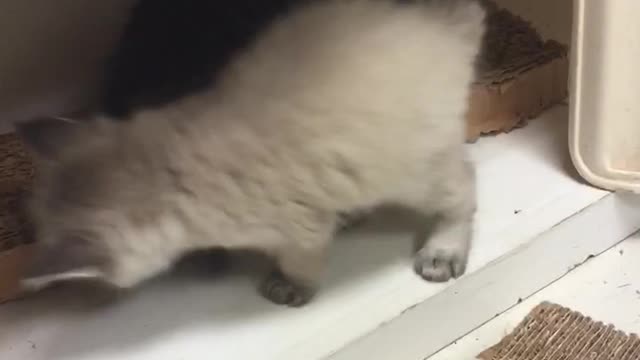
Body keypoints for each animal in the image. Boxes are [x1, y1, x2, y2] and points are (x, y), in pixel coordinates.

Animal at [18, 0, 484, 306]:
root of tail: (444, 21)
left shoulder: (298, 229)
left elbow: (299, 262)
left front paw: (288, 287)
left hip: (414, 172)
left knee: (464, 188)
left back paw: (442, 251)